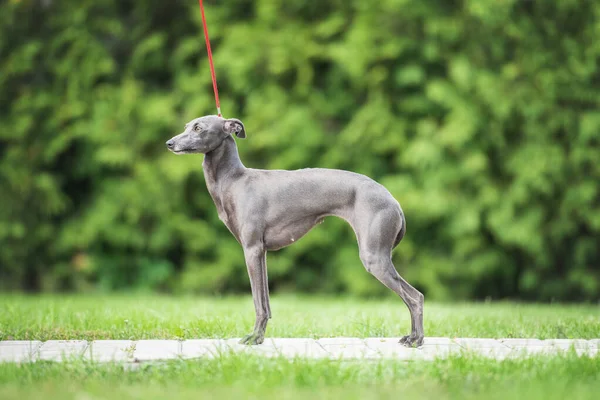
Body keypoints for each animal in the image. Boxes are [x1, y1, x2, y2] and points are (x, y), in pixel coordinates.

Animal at [166, 115, 424, 346]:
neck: (235, 181)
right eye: (186, 126)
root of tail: (393, 201)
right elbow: (266, 302)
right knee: (412, 296)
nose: (169, 143)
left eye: (198, 127)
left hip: (374, 256)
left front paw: (254, 338)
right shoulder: (261, 253)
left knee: (414, 297)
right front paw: (260, 336)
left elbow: (258, 302)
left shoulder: (251, 249)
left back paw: (417, 340)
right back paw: (411, 337)